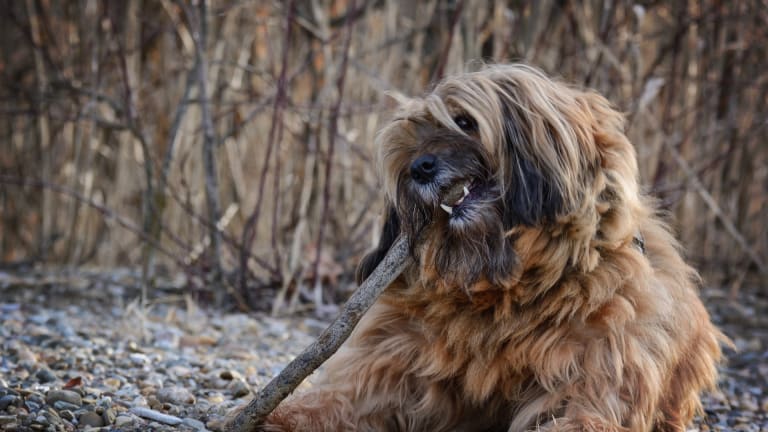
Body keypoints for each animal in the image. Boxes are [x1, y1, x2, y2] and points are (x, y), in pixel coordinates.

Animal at [260, 64, 728, 432]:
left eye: (464, 121)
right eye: (413, 136)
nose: (418, 168)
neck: (504, 289)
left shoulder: (592, 376)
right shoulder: (390, 360)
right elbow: (336, 401)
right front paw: (279, 418)